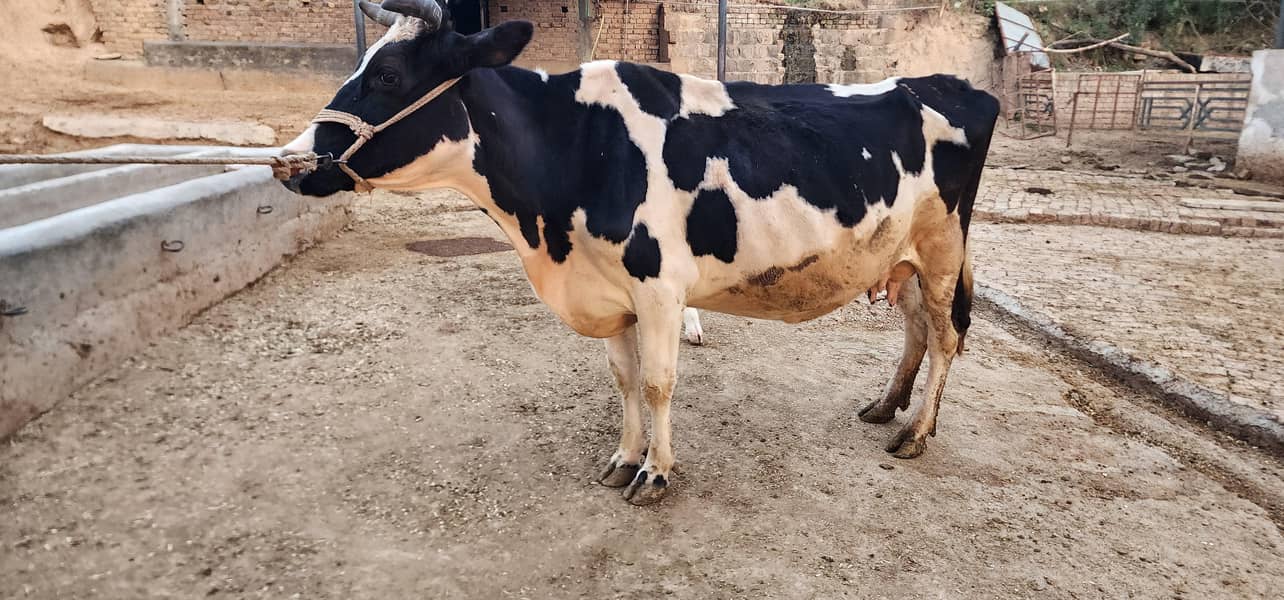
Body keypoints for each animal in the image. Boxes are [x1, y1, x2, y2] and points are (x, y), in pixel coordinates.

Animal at [279, 0, 999, 505]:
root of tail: (956, 85)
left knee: (945, 336)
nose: (292, 160)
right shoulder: (610, 292)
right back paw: (885, 406)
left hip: (941, 249)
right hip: (900, 254)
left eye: (389, 74)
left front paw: (655, 473)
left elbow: (657, 382)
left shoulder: (658, 287)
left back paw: (915, 433)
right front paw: (624, 458)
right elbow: (624, 379)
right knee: (915, 328)